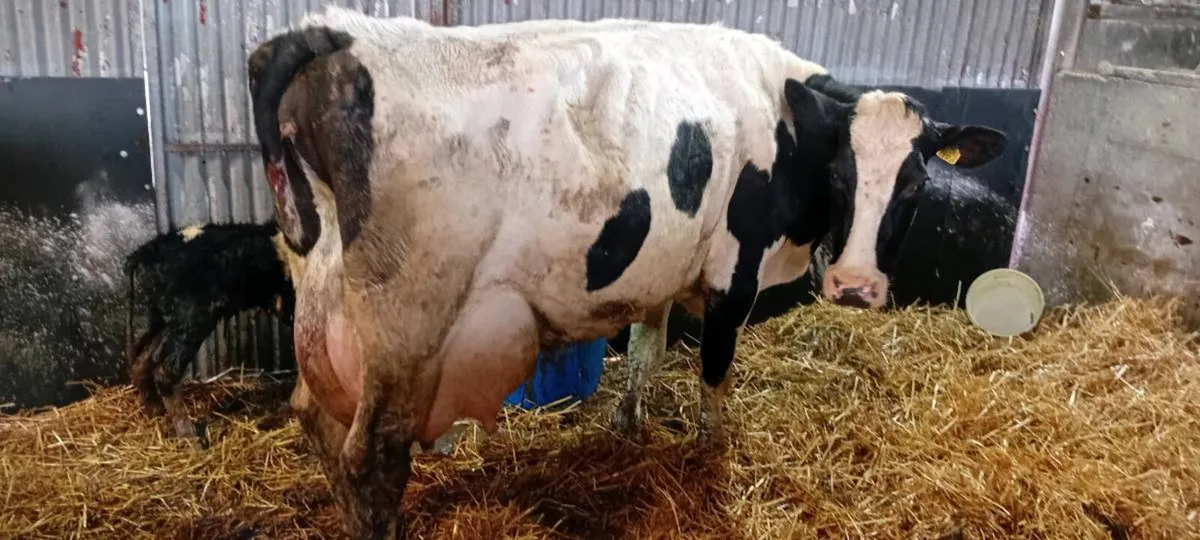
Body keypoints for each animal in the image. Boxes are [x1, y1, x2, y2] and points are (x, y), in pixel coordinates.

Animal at [124, 221, 305, 443]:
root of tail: (144, 254)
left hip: (154, 314)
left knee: (140, 360)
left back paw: (154, 411)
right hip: (192, 315)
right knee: (165, 369)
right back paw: (190, 438)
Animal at [247, 9, 1007, 537]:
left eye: (914, 184)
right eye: (843, 175)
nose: (854, 288)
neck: (780, 118)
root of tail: (331, 33)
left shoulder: (661, 267)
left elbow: (645, 347)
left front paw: (627, 422)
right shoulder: (734, 273)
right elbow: (714, 373)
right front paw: (711, 448)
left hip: (325, 307)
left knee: (314, 420)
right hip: (407, 328)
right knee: (372, 458)